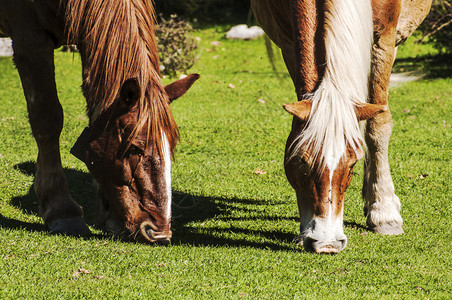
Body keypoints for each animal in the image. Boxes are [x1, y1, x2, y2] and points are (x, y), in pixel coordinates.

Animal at [252, 0, 432, 253]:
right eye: (301, 160)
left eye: (352, 163)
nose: (326, 243)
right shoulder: (288, 41)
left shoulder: (382, 40)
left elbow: (378, 124)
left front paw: (384, 213)